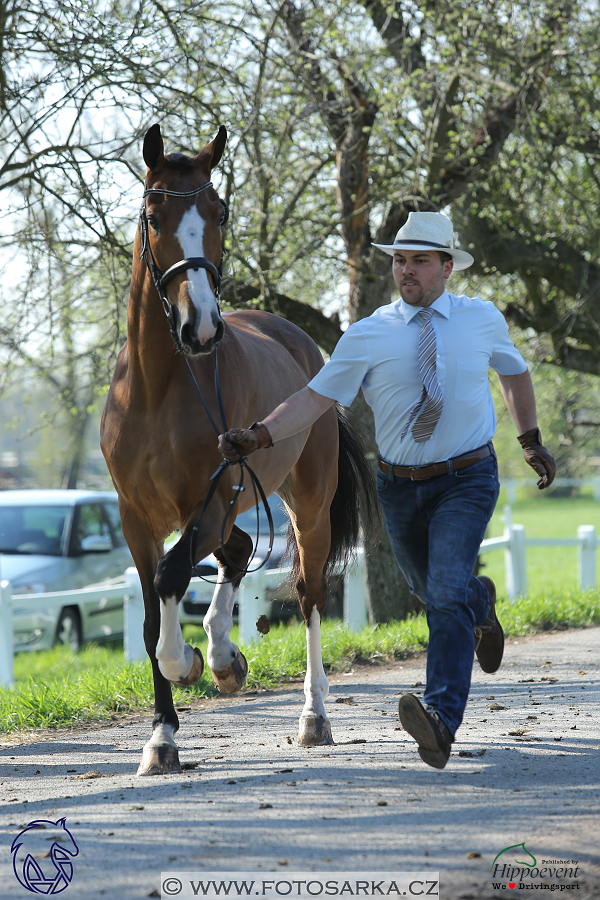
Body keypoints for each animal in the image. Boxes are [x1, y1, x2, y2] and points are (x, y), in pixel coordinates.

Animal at [101, 123, 372, 776]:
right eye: (154, 216)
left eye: (219, 212)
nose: (201, 327)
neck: (156, 389)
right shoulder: (135, 518)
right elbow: (150, 611)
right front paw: (162, 737)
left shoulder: (211, 500)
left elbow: (173, 579)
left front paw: (189, 662)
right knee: (240, 550)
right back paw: (226, 654)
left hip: (304, 508)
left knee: (308, 595)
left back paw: (311, 715)